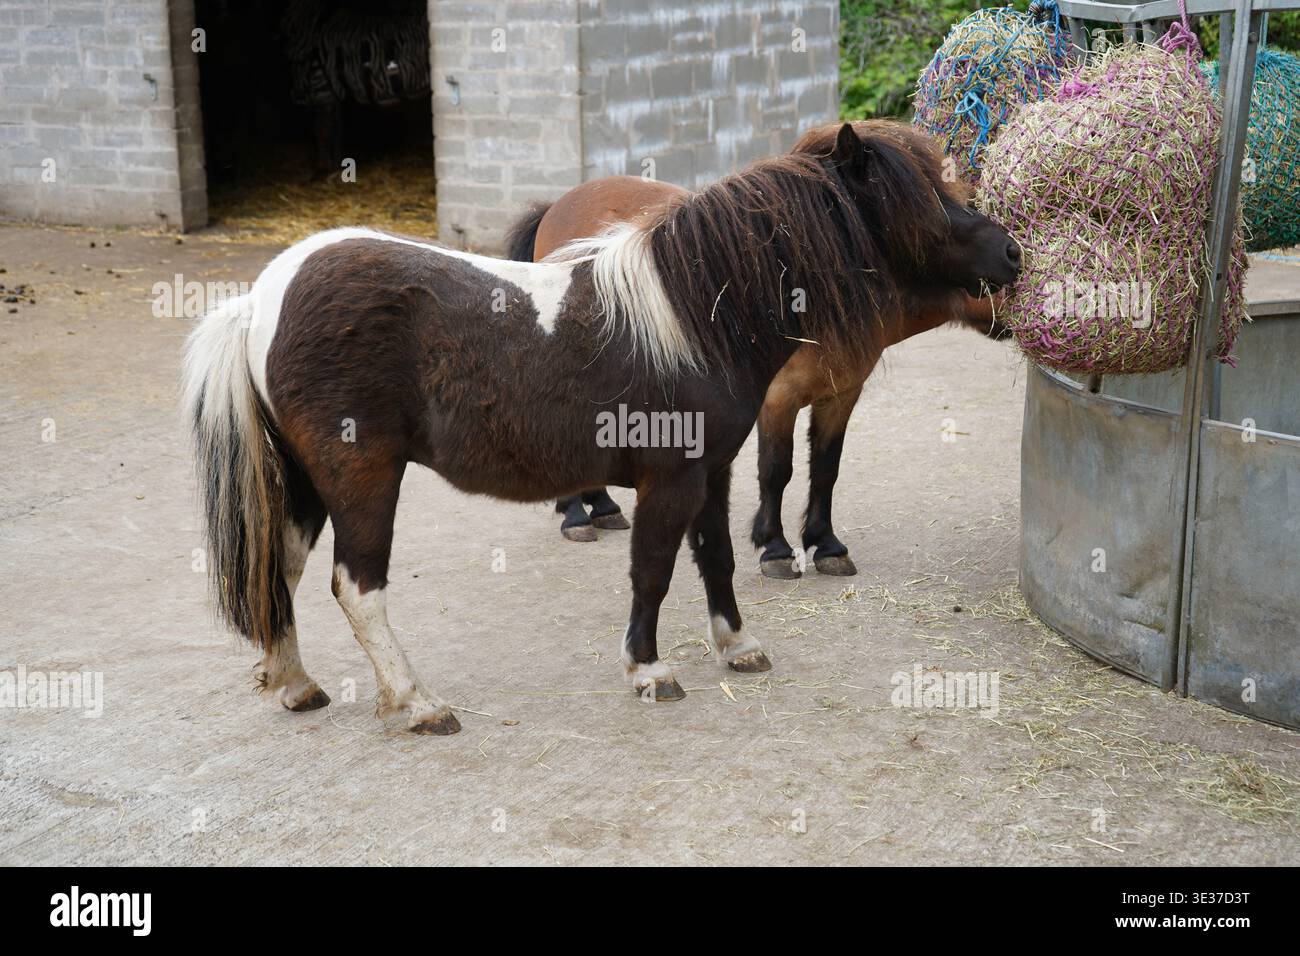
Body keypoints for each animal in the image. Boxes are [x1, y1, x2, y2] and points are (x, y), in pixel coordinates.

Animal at [508, 120, 1009, 577]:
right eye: (920, 204)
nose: (1013, 252)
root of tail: (558, 204)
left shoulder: (840, 395)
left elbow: (826, 468)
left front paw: (826, 545)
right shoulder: (778, 398)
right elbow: (776, 470)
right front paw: (776, 547)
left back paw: (602, 506)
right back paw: (576, 513)